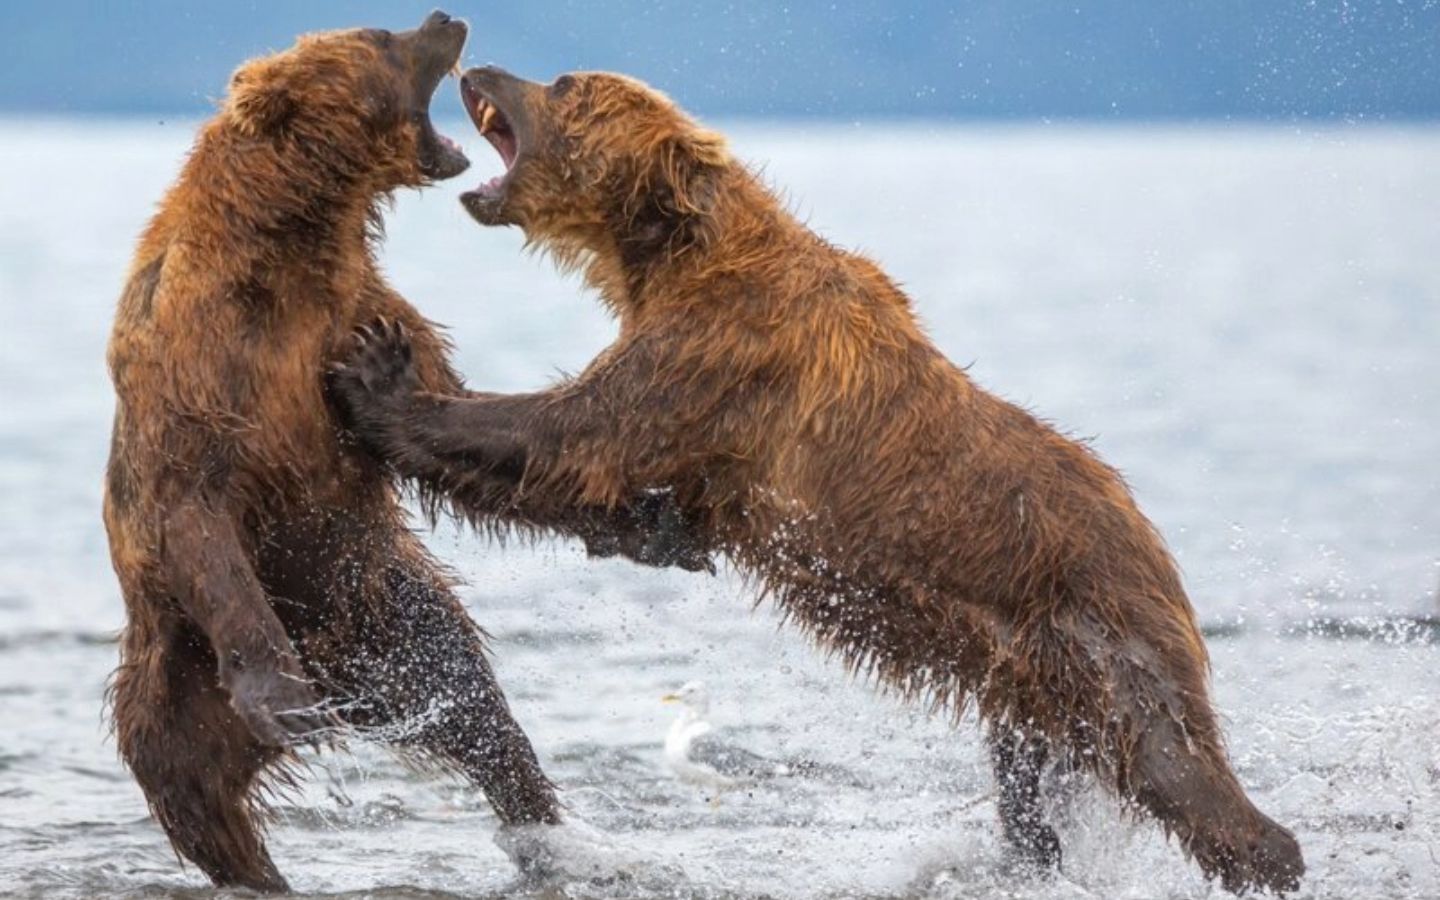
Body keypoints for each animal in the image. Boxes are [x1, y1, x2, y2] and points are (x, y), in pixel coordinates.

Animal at [102, 20, 704, 892]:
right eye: (381, 36)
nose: (445, 17)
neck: (292, 242)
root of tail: (344, 675)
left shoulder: (363, 313)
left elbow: (440, 430)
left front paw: (651, 521)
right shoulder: (196, 359)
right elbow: (195, 507)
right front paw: (283, 697)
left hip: (387, 613)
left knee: (474, 704)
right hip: (177, 674)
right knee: (199, 800)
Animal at [327, 67, 1306, 894]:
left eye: (565, 85)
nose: (481, 69)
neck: (672, 253)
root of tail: (1153, 537)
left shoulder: (719, 353)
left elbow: (569, 432)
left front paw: (379, 377)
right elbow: (617, 488)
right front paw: (657, 533)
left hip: (1100, 628)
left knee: (1173, 763)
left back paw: (1270, 854)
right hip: (1027, 675)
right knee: (1033, 782)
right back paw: (1025, 856)